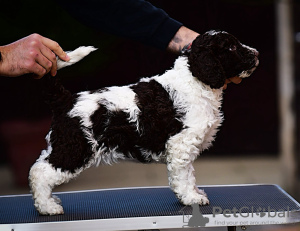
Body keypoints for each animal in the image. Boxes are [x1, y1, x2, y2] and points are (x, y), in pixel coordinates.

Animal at [28, 30, 258, 215]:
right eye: (231, 47)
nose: (256, 54)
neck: (196, 80)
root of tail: (67, 99)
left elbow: (189, 175)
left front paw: (194, 193)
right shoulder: (181, 144)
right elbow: (183, 176)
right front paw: (191, 198)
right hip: (75, 148)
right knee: (39, 172)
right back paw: (47, 207)